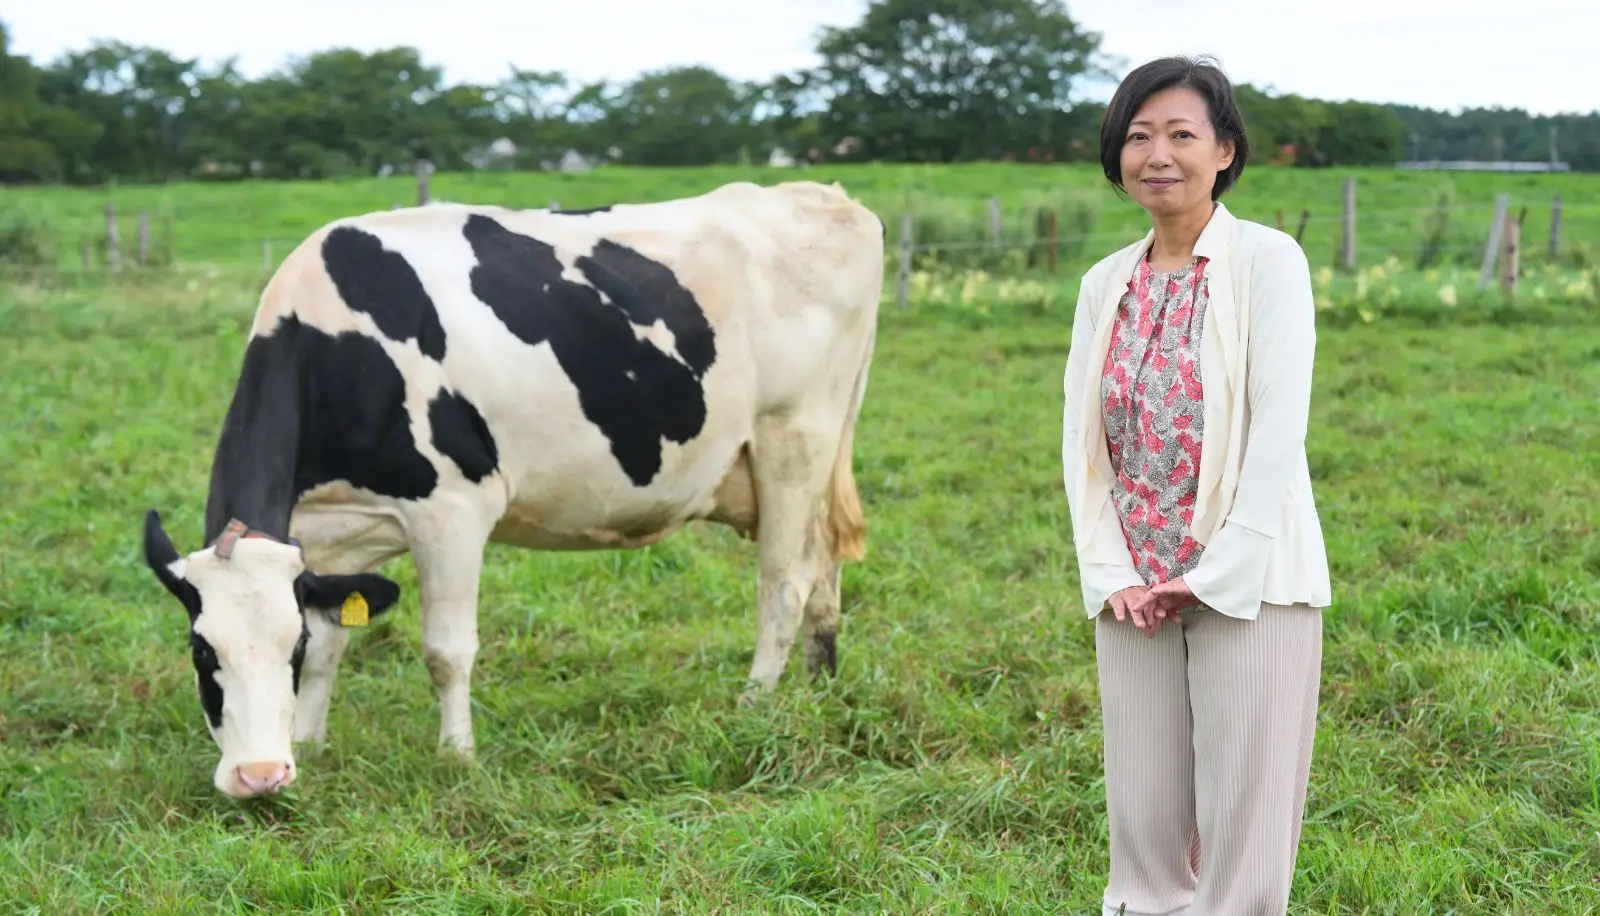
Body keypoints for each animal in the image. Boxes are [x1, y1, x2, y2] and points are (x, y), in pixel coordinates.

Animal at [142, 178, 883, 794]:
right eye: (202, 650)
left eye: (283, 648)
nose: (258, 776)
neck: (335, 345)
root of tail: (829, 198)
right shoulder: (325, 538)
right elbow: (334, 644)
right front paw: (313, 743)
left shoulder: (451, 510)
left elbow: (446, 651)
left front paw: (457, 758)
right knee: (824, 570)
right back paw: (819, 687)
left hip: (792, 438)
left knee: (783, 586)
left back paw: (754, 705)